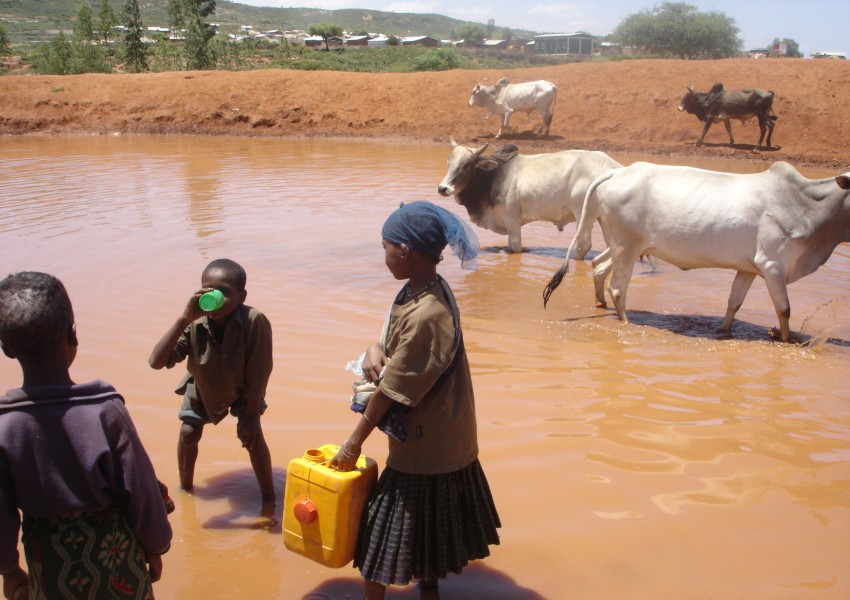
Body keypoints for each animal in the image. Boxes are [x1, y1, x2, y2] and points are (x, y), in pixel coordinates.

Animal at [438, 138, 624, 255]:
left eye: (466, 165)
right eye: (448, 163)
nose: (443, 188)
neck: (493, 176)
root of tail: (614, 168)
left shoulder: (512, 219)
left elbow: (514, 248)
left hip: (583, 215)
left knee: (583, 246)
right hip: (604, 218)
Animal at [540, 161, 848, 342]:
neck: (805, 205)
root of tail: (617, 171)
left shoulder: (748, 268)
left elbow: (734, 303)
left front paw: (724, 331)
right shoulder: (772, 266)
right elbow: (784, 310)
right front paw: (787, 341)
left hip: (622, 245)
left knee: (600, 267)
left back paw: (603, 305)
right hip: (626, 246)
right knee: (617, 287)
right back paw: (627, 322)